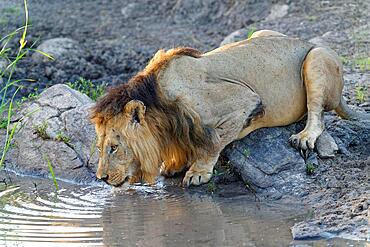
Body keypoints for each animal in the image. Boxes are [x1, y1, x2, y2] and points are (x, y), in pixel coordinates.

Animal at [89, 29, 368, 186]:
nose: (101, 179)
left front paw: (197, 172)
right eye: (100, 147)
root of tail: (304, 40)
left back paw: (305, 137)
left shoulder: (245, 100)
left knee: (317, 113)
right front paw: (175, 164)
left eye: (114, 148)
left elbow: (212, 142)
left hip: (316, 57)